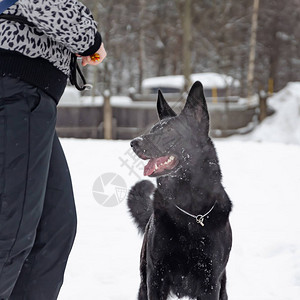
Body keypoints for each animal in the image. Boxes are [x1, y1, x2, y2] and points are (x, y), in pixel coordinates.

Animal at [127, 82, 233, 300]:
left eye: (168, 132)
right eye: (153, 129)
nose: (133, 142)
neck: (190, 211)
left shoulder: (211, 283)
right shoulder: (156, 278)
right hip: (143, 286)